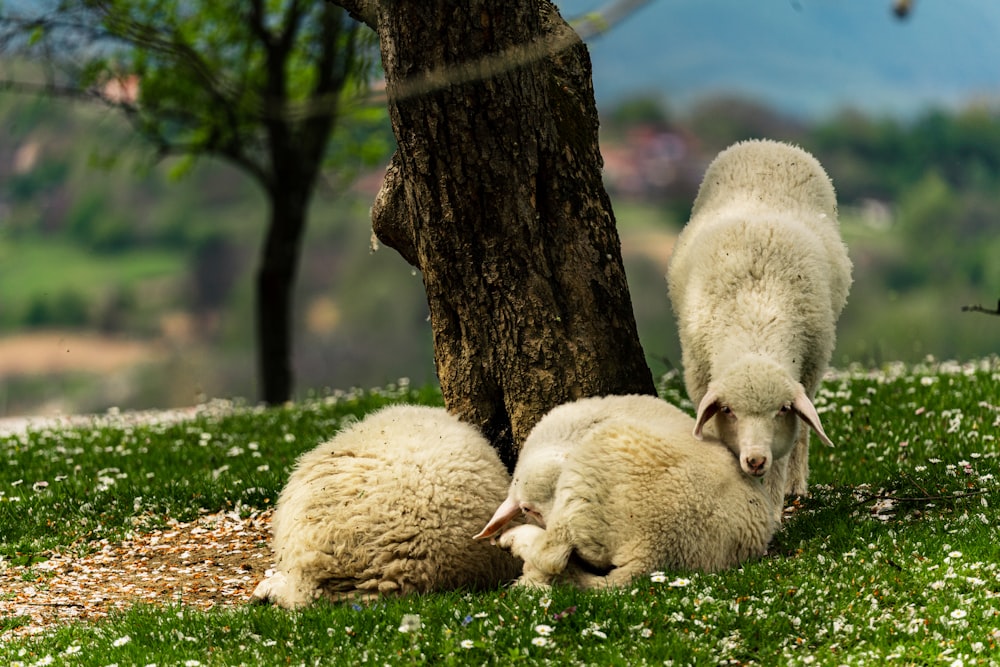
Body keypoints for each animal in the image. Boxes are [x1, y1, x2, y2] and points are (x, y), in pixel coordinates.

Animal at [664, 141, 852, 506]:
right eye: (729, 410)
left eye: (780, 409)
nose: (755, 460)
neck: (756, 319)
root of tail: (771, 144)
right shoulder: (699, 376)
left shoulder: (805, 372)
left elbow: (791, 440)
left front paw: (774, 501)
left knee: (804, 434)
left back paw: (796, 485)